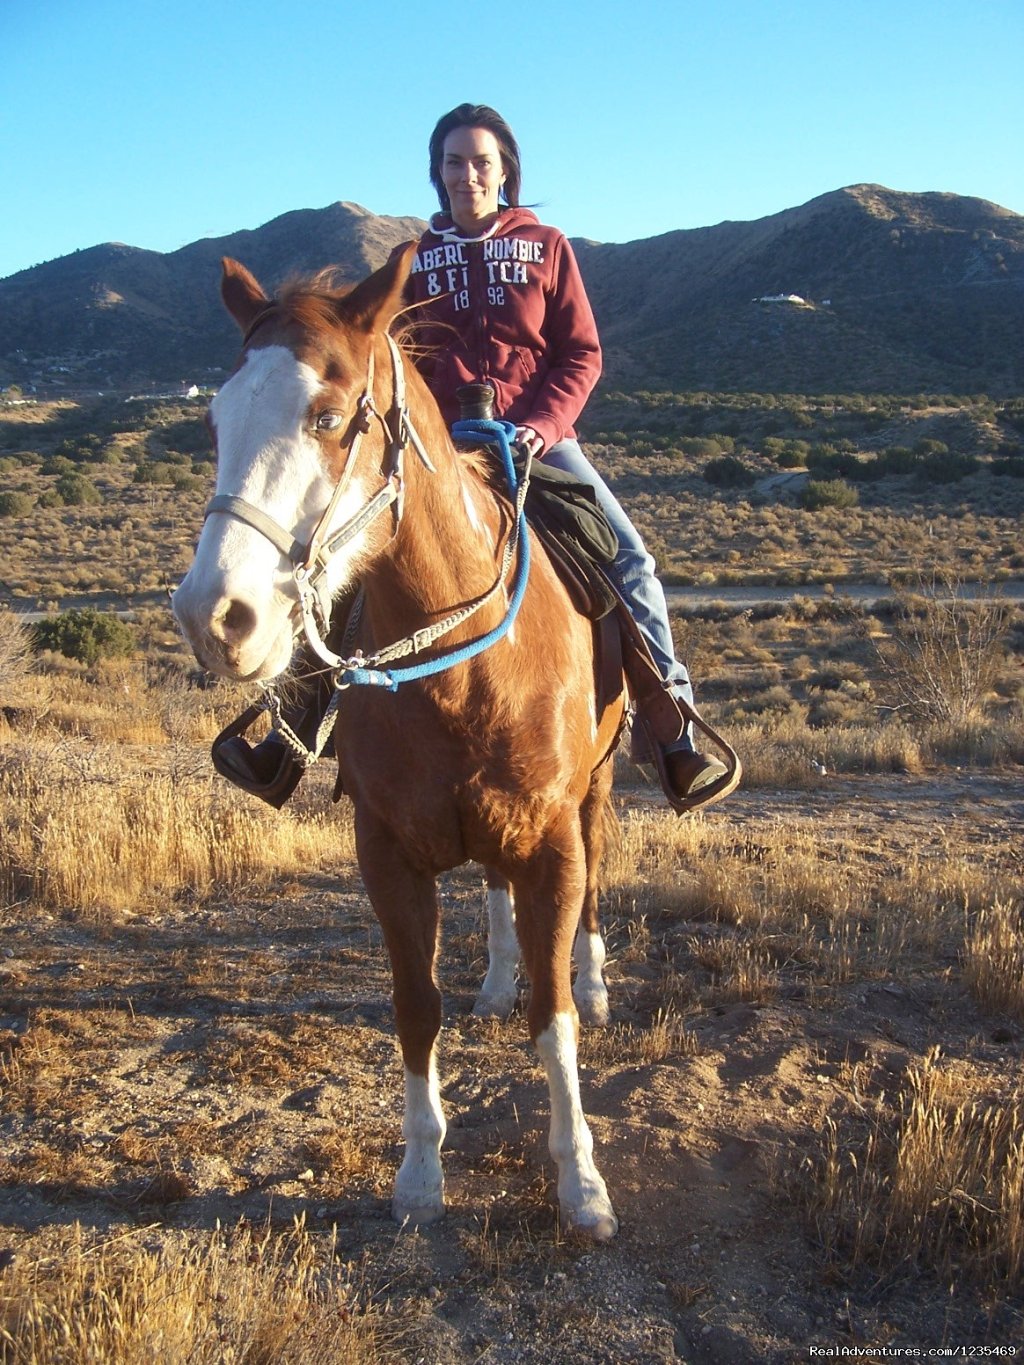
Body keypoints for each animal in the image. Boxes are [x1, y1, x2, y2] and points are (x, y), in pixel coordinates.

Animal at [174, 245, 625, 1239]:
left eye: (328, 415)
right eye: (216, 418)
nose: (213, 617)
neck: (464, 666)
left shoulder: (551, 839)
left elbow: (554, 1015)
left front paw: (581, 1180)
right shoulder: (386, 850)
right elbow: (416, 1007)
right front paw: (420, 1175)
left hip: (596, 789)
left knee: (592, 888)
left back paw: (597, 976)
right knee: (491, 894)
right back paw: (493, 981)